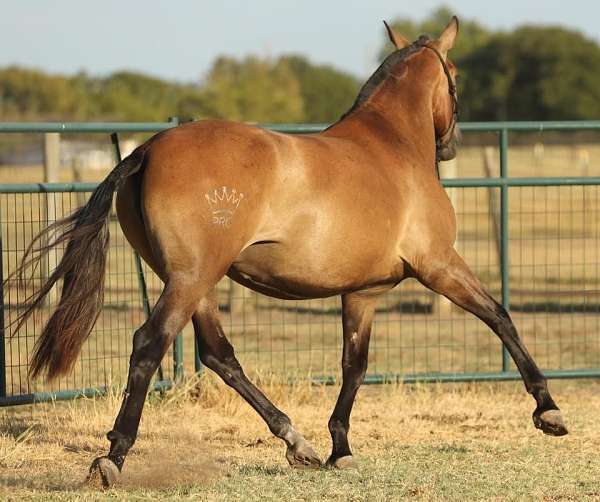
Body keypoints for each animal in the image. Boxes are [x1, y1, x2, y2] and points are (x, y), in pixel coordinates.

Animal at [7, 17, 564, 488]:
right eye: (456, 76)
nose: (451, 144)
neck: (392, 149)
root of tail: (147, 149)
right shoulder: (439, 265)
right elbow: (500, 316)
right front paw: (548, 411)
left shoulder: (362, 293)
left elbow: (354, 363)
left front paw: (341, 449)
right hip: (191, 279)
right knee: (150, 344)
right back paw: (112, 459)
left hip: (194, 281)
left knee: (219, 355)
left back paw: (298, 443)